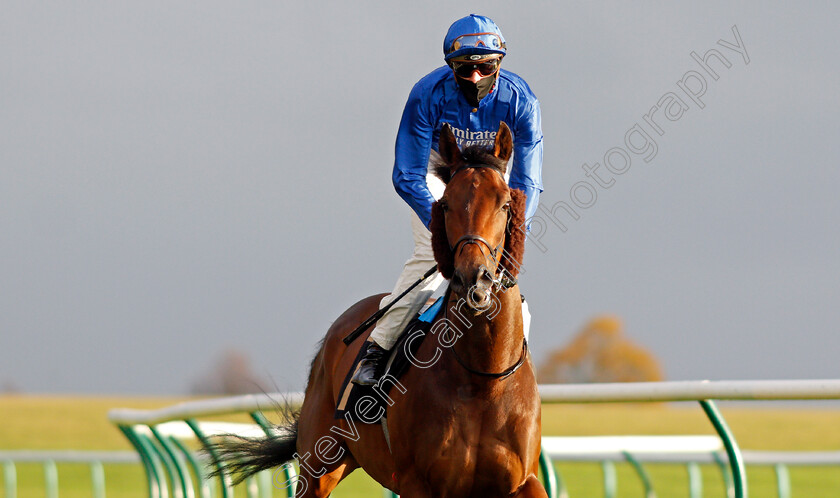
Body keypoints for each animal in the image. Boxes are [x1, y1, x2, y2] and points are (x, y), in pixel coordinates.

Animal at [213, 121, 548, 498]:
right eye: (445, 204)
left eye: (505, 204)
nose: (472, 279)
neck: (482, 379)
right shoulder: (417, 482)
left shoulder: (524, 481)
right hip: (317, 466)